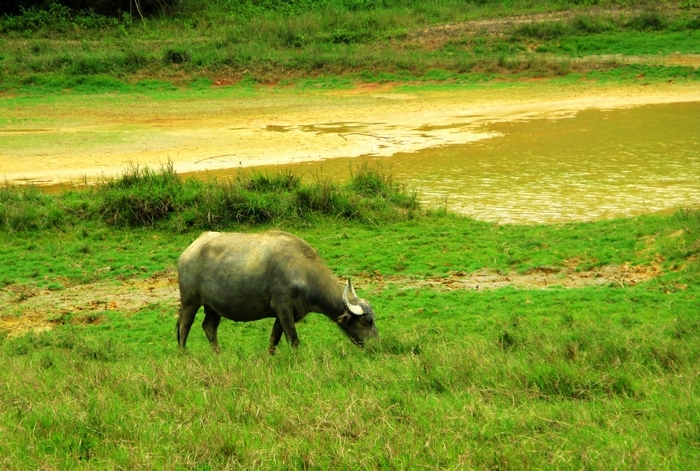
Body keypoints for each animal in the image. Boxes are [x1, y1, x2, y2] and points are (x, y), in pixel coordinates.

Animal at [178, 230, 380, 352]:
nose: (376, 345)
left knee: (209, 327)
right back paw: (183, 354)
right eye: (367, 321)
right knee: (184, 326)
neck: (303, 271)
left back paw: (218, 354)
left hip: (213, 307)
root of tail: (188, 252)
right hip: (189, 301)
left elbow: (274, 338)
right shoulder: (284, 310)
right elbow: (293, 339)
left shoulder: (285, 314)